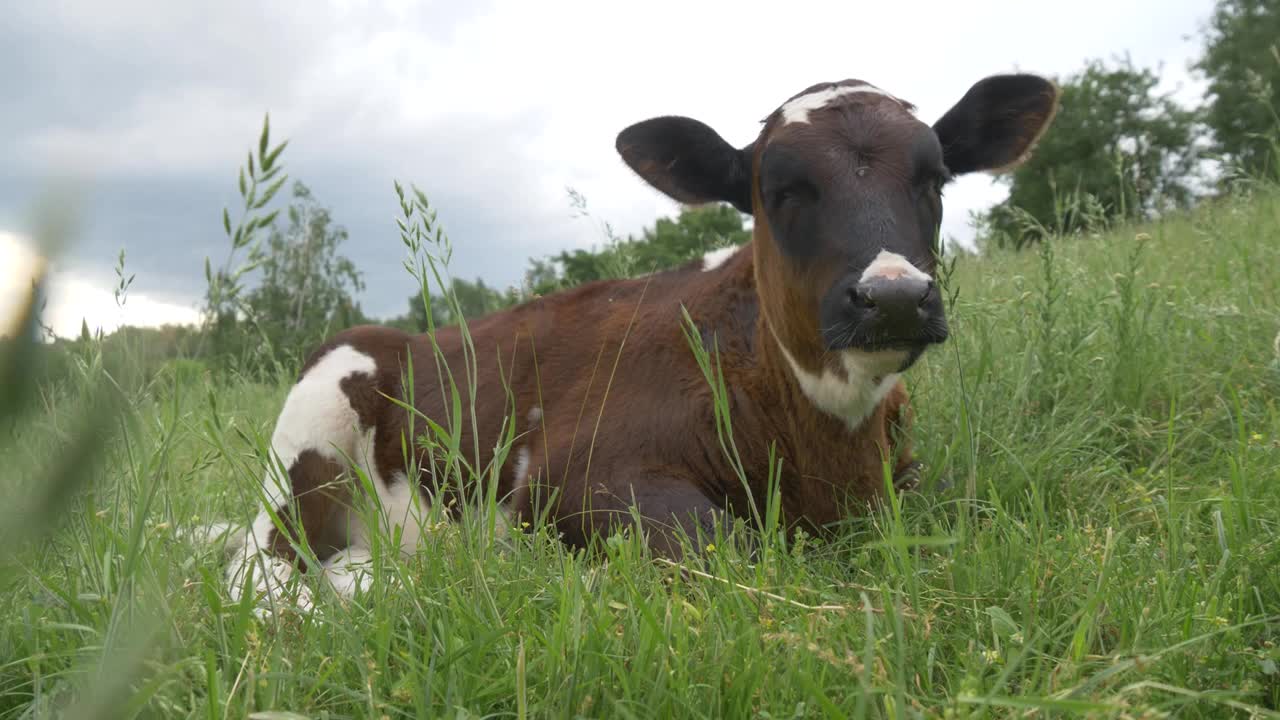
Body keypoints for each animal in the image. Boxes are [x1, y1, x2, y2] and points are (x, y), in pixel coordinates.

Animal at [222, 73, 1059, 602]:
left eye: (935, 179)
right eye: (780, 189)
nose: (893, 297)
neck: (828, 453)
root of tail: (406, 336)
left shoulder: (906, 472)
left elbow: (974, 502)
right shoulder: (568, 476)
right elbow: (720, 545)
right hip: (308, 441)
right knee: (258, 572)